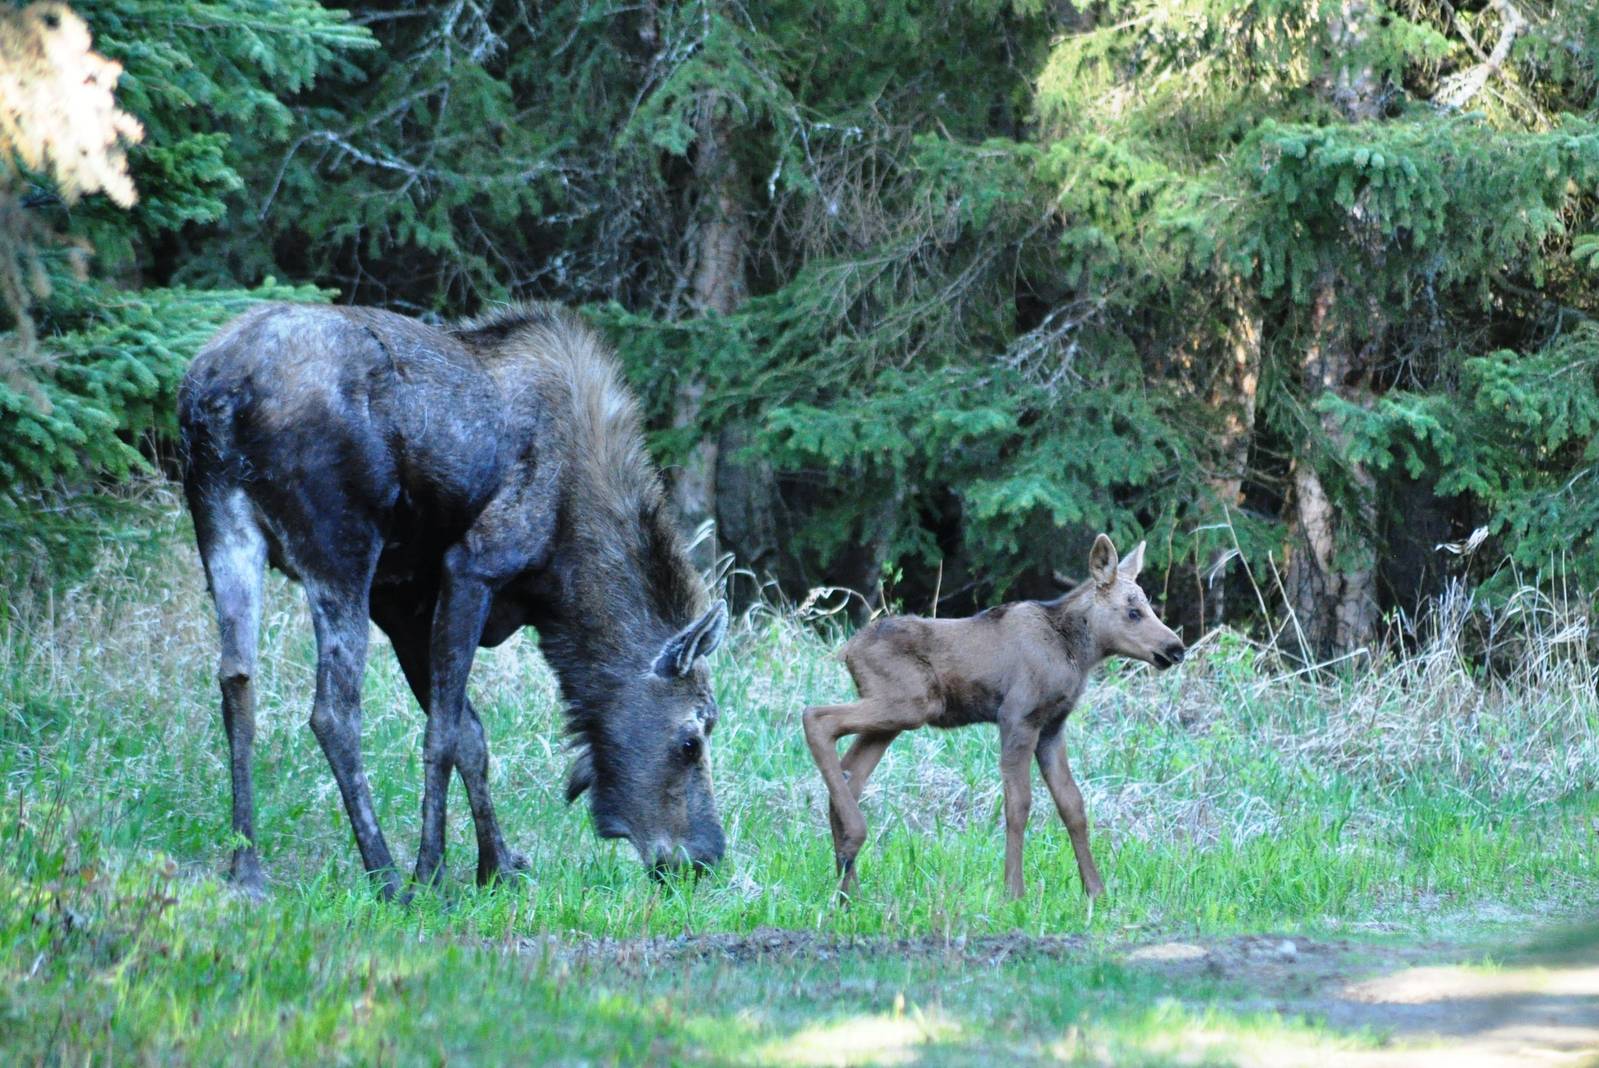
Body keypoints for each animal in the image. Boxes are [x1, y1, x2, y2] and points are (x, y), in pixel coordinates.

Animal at [802, 534, 1185, 900]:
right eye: (1133, 611)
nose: (1176, 648)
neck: (1077, 653)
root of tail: (846, 651)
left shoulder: (1052, 727)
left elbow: (1072, 805)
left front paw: (1096, 891)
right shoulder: (1018, 716)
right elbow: (1018, 804)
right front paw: (1013, 892)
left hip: (894, 716)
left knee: (849, 774)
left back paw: (849, 889)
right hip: (909, 704)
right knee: (815, 717)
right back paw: (854, 845)